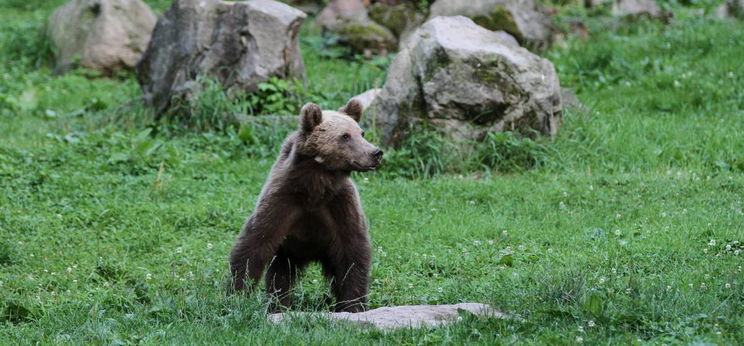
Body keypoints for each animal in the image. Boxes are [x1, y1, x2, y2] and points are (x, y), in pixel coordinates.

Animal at [228, 98, 384, 312]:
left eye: (361, 133)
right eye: (345, 136)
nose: (375, 153)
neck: (315, 187)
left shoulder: (340, 205)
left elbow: (353, 253)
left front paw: (353, 305)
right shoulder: (282, 201)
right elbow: (254, 245)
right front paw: (236, 295)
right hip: (288, 252)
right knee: (280, 276)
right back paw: (279, 305)